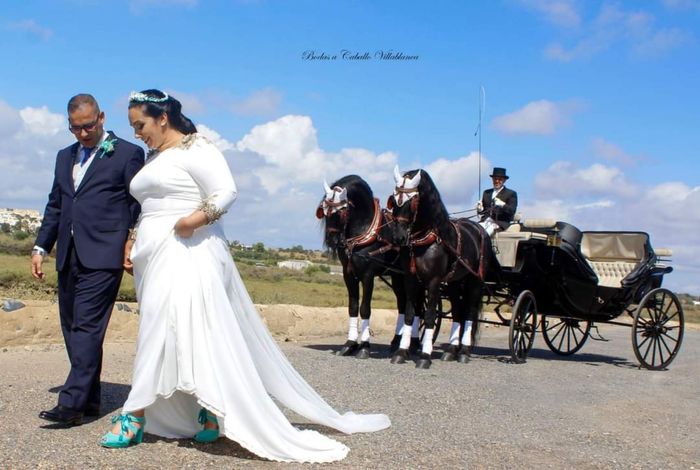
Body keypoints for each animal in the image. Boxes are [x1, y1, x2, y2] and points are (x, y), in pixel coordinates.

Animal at [318, 174, 410, 358]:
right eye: (324, 210)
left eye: (342, 211)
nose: (331, 240)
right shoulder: (348, 275)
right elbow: (353, 308)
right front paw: (350, 344)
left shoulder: (368, 275)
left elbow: (365, 308)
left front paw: (364, 347)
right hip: (396, 277)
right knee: (402, 305)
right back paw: (396, 342)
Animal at [388, 167, 498, 370]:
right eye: (393, 198)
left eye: (413, 200)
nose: (398, 237)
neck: (425, 241)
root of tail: (480, 230)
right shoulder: (410, 279)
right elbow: (409, 314)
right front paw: (401, 352)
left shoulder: (433, 282)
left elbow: (430, 316)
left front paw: (425, 355)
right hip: (455, 282)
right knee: (457, 311)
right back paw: (451, 350)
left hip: (475, 281)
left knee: (469, 312)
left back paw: (464, 352)